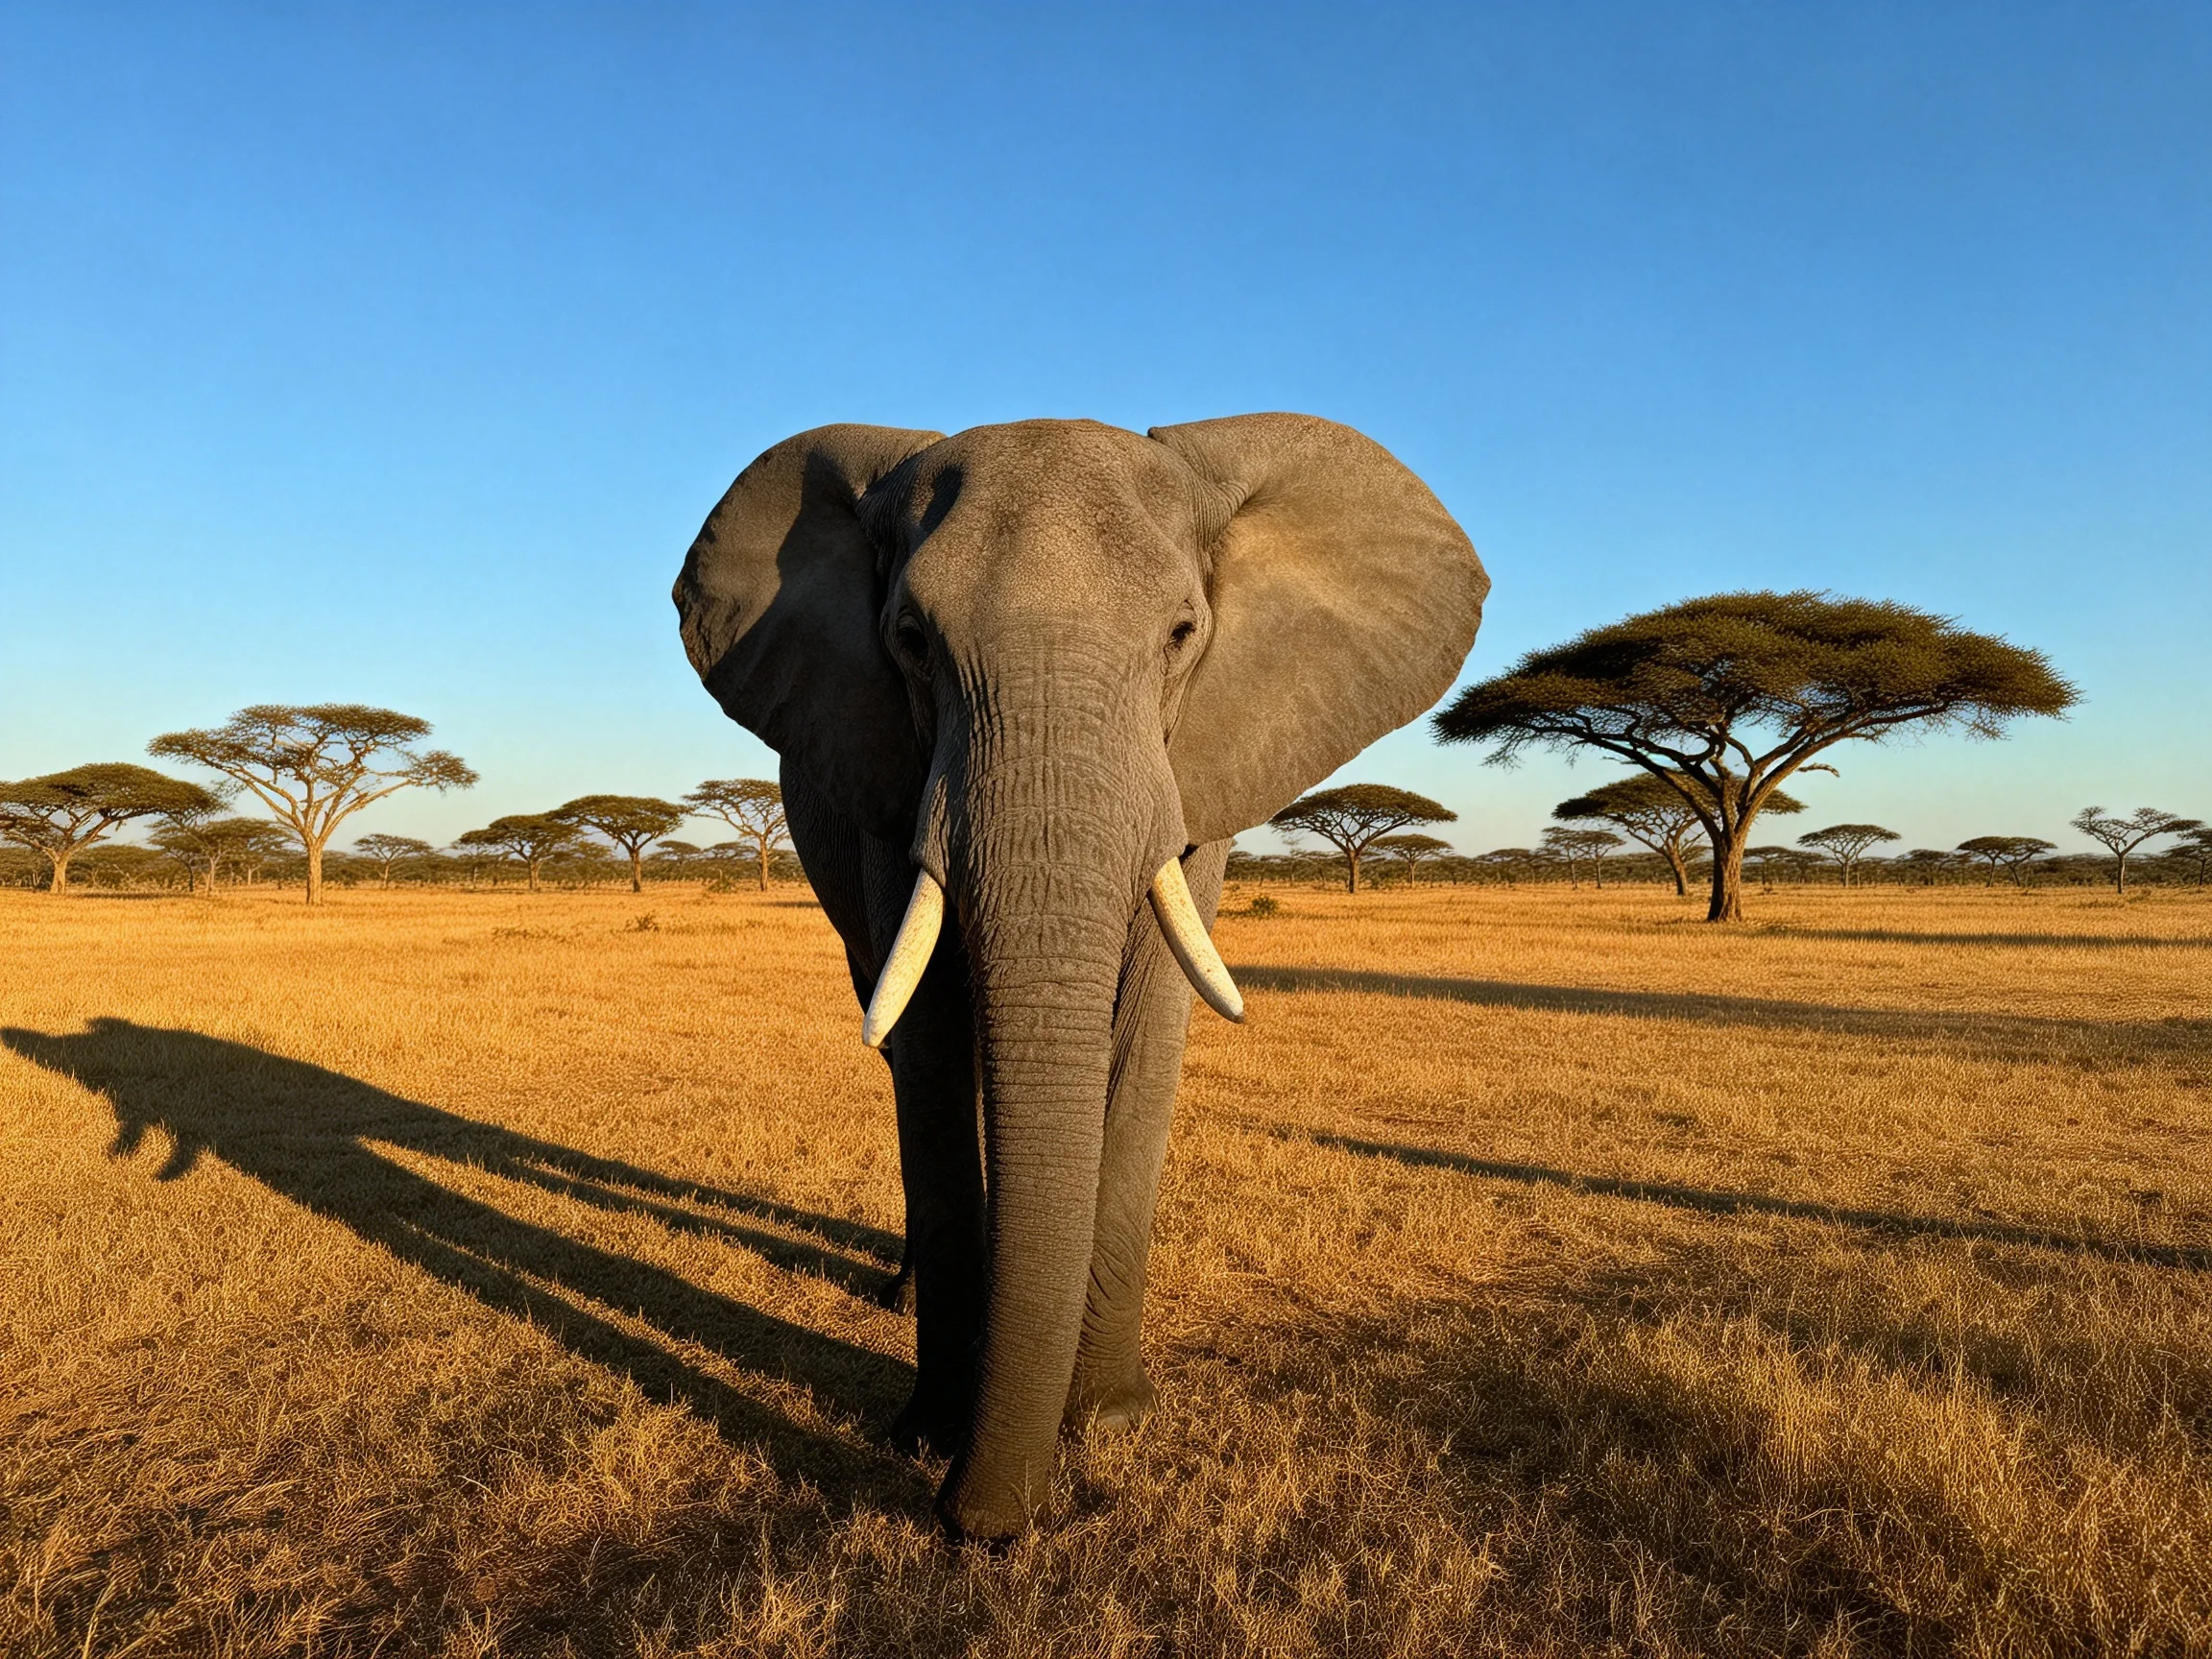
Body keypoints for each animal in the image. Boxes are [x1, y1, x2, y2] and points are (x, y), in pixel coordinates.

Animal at [672, 414, 1486, 1539]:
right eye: (910, 638)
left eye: (1183, 635)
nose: (976, 1520)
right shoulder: (883, 771)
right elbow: (928, 1040)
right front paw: (931, 1431)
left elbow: (1150, 1020)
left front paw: (1107, 1420)